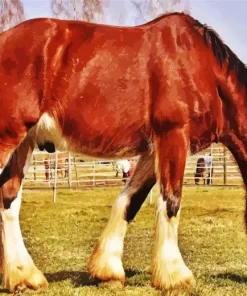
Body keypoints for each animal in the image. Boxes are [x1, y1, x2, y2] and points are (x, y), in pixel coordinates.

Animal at [0, 11, 247, 294]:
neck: (205, 68)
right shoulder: (173, 136)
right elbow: (170, 201)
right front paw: (175, 276)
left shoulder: (152, 151)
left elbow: (130, 200)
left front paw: (108, 270)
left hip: (22, 143)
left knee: (8, 199)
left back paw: (24, 276)